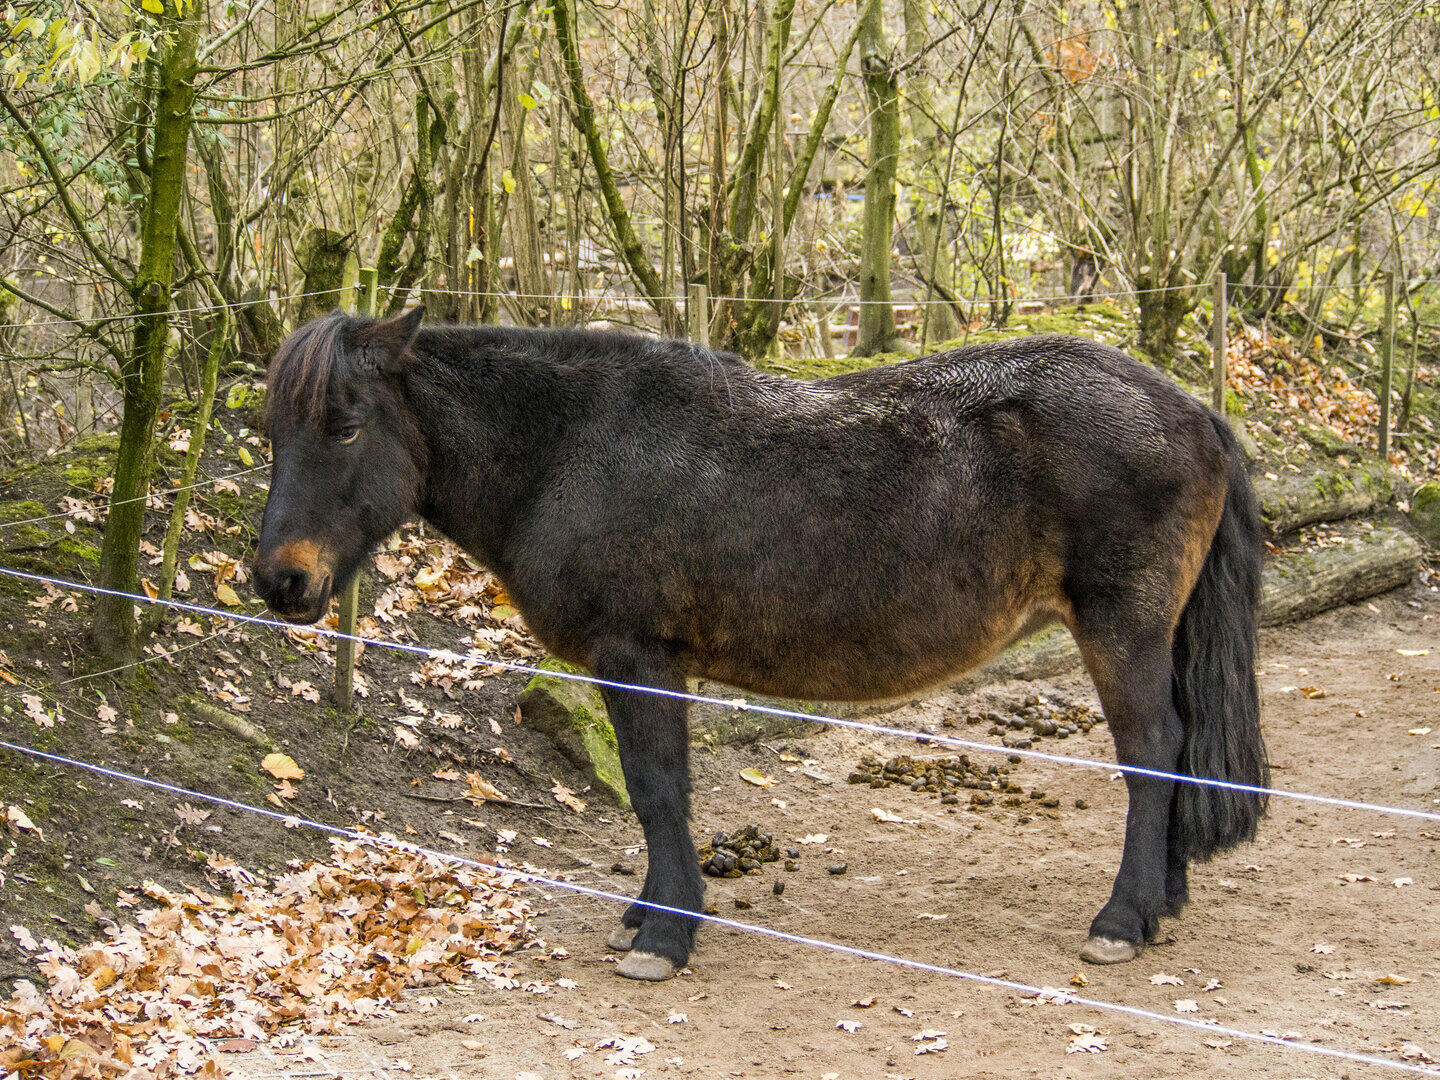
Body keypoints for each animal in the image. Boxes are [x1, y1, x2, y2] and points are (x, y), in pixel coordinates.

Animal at [253, 307, 1267, 982]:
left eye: (344, 426)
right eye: (273, 433)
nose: (280, 582)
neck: (569, 449)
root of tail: (1191, 410)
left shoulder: (638, 657)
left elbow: (658, 791)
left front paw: (664, 934)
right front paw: (648, 915)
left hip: (1121, 629)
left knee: (1152, 754)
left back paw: (1124, 917)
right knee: (1174, 750)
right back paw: (1161, 902)